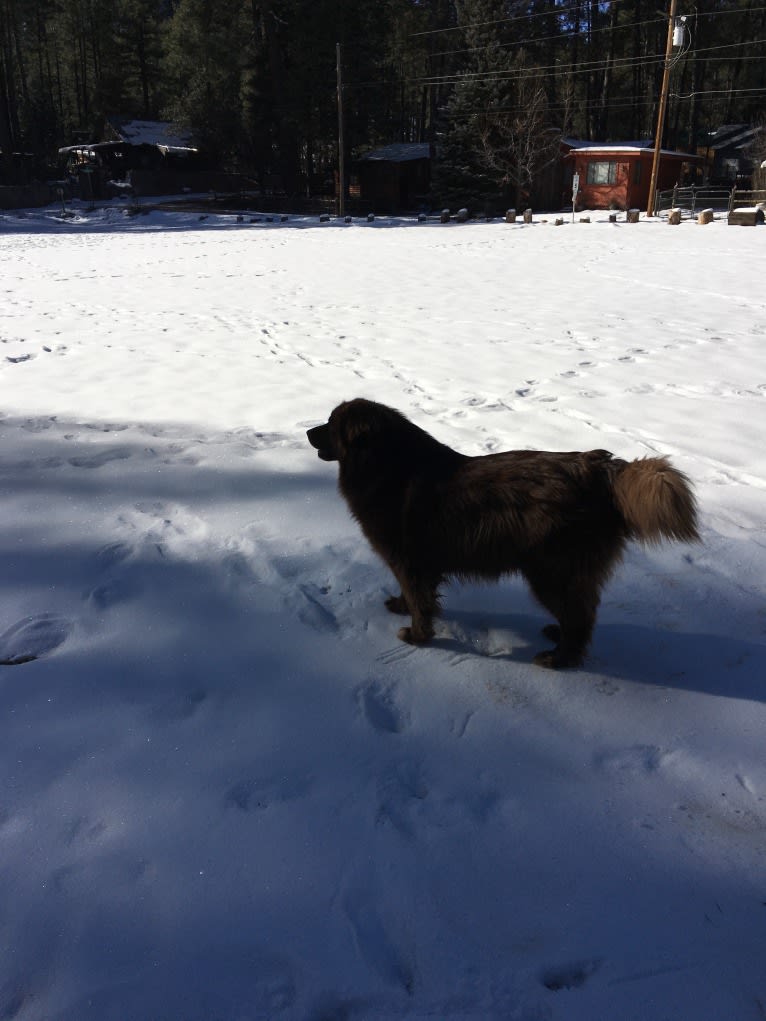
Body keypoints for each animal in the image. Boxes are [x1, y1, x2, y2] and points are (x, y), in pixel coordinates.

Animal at [308, 398, 702, 669]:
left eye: (330, 424)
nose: (307, 432)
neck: (387, 467)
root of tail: (601, 470)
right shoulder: (416, 565)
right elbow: (414, 596)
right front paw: (401, 608)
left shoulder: (409, 560)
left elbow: (420, 602)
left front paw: (418, 637)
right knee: (582, 613)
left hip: (551, 572)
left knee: (580, 617)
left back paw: (557, 659)